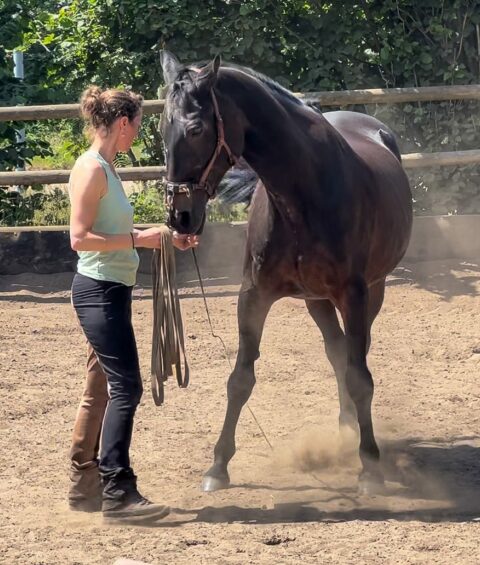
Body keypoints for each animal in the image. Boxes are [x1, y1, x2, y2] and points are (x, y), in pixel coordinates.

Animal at [160, 51, 412, 494]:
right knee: (337, 351)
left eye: (195, 128)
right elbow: (240, 379)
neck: (302, 193)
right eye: (160, 127)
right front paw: (218, 466)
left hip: (372, 290)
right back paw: (346, 427)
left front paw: (370, 467)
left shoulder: (355, 295)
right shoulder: (253, 295)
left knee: (355, 354)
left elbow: (361, 377)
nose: (180, 218)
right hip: (317, 301)